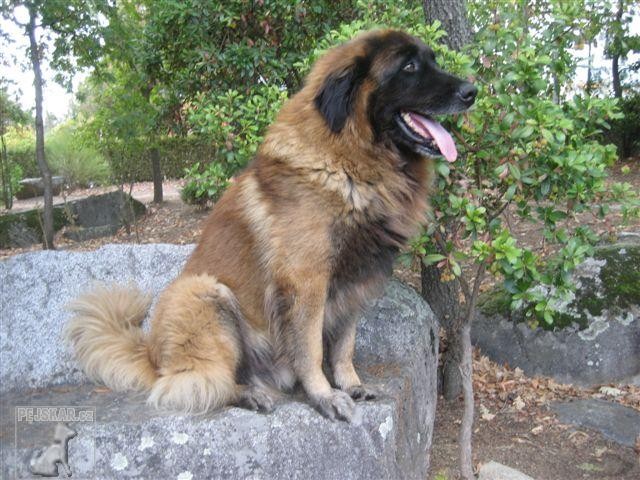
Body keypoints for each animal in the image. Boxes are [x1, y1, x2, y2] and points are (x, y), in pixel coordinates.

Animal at [65, 29, 476, 420]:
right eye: (409, 67)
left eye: (432, 60)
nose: (473, 91)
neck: (350, 160)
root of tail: (151, 354)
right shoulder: (306, 282)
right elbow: (311, 350)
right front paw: (325, 396)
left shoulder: (355, 282)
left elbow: (344, 345)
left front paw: (350, 384)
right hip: (206, 294)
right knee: (202, 382)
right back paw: (248, 394)